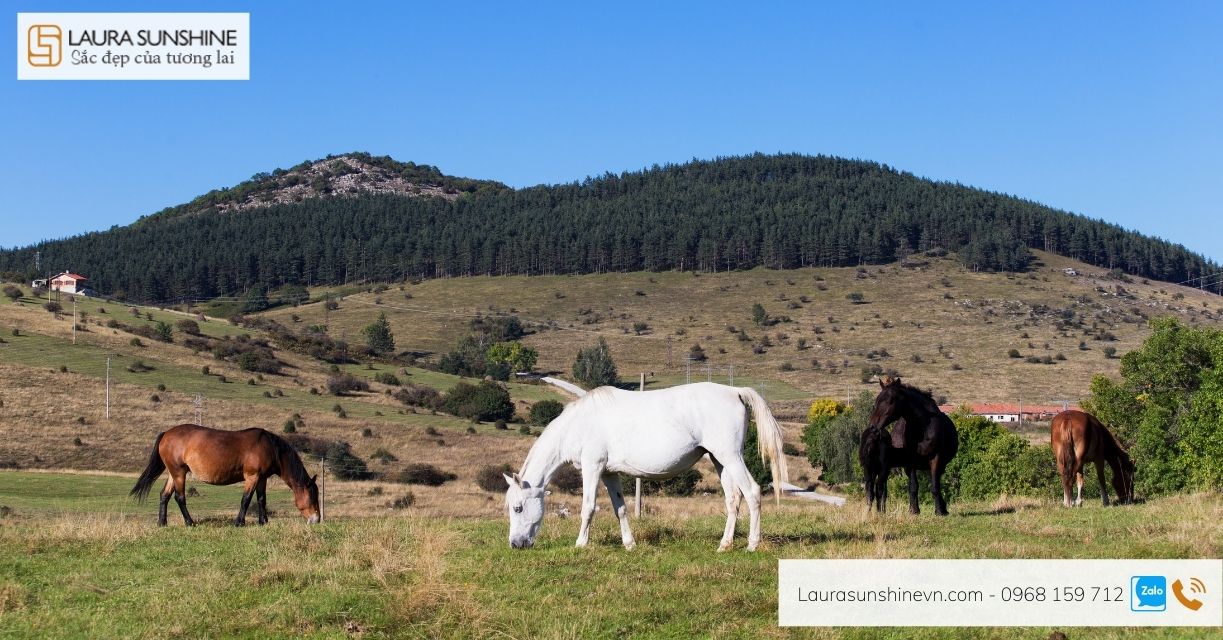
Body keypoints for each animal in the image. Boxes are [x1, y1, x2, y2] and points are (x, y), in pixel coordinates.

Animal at [130, 425, 320, 526]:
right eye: (312, 497)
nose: (316, 519)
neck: (270, 448)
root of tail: (166, 434)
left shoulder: (262, 478)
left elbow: (261, 500)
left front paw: (263, 521)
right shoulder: (252, 477)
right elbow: (246, 499)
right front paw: (239, 522)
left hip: (173, 473)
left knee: (165, 495)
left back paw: (162, 523)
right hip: (178, 473)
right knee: (179, 497)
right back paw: (189, 522)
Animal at [501, 384, 787, 553]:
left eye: (518, 508)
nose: (515, 544)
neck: (579, 423)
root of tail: (735, 391)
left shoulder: (592, 467)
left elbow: (588, 507)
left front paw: (581, 543)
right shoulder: (609, 473)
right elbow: (620, 508)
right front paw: (629, 544)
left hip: (731, 457)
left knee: (752, 492)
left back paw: (752, 545)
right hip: (720, 460)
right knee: (733, 499)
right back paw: (725, 545)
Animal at [865, 379, 958, 518]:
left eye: (890, 401)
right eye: (876, 401)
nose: (873, 427)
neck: (923, 428)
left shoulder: (936, 458)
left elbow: (935, 486)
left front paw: (939, 511)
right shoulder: (911, 461)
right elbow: (913, 486)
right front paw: (914, 511)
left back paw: (943, 507)